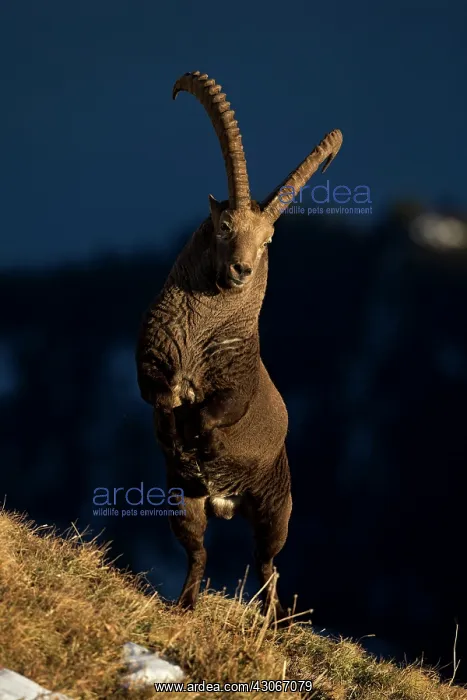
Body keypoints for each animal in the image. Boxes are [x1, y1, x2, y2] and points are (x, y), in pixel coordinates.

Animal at [136, 71, 342, 620]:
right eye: (224, 226)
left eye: (268, 239)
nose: (242, 270)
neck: (200, 340)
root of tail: (227, 506)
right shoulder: (151, 363)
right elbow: (160, 395)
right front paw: (177, 434)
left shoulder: (236, 387)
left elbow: (218, 411)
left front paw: (202, 442)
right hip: (182, 502)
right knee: (200, 551)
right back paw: (185, 603)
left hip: (276, 507)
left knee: (268, 563)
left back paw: (275, 620)